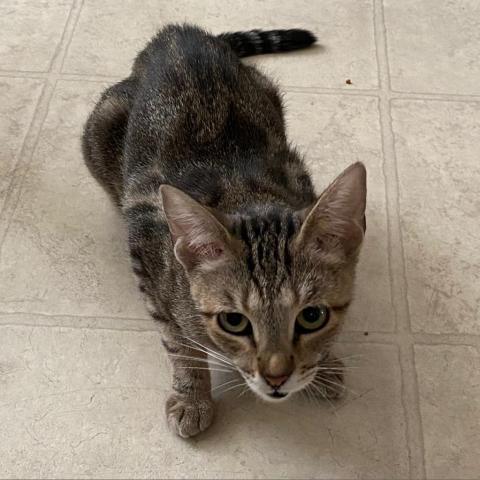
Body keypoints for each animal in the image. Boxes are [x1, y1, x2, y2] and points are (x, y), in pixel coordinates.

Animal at [83, 25, 368, 438]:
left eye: (312, 316)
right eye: (234, 322)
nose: (276, 378)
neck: (245, 195)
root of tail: (176, 33)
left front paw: (324, 364)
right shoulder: (146, 260)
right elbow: (179, 344)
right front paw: (192, 397)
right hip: (99, 131)